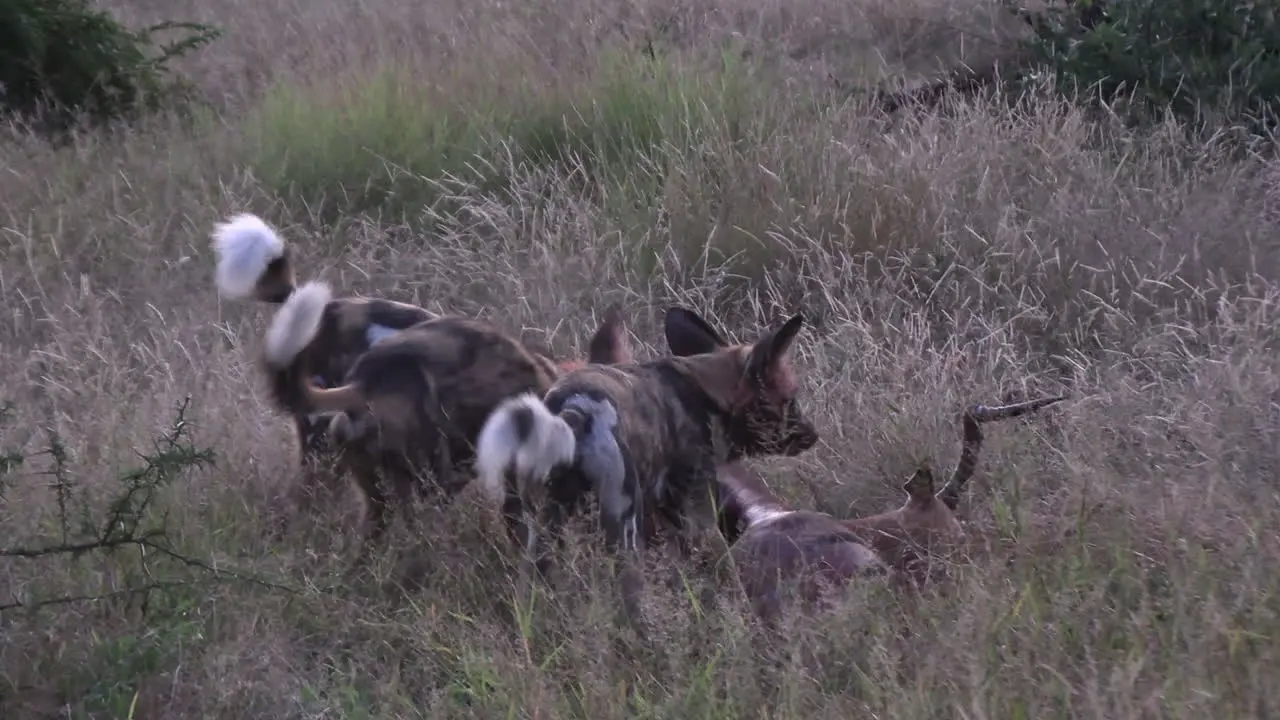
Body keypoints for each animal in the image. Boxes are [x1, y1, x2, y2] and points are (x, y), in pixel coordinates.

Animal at [473, 304, 819, 630]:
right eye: (790, 399)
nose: (813, 435)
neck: (710, 392)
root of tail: (573, 411)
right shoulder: (696, 517)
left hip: (535, 534)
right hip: (624, 533)